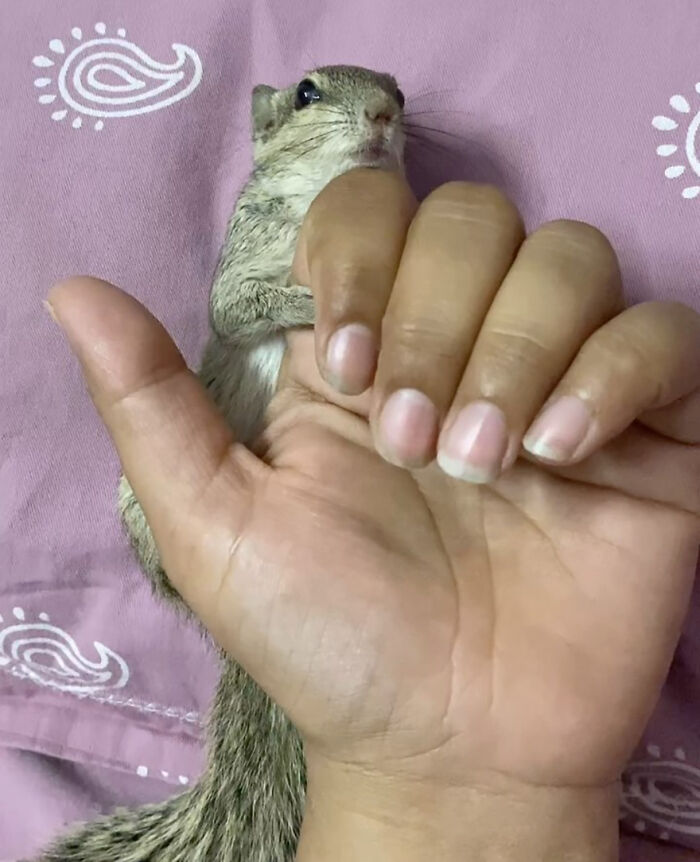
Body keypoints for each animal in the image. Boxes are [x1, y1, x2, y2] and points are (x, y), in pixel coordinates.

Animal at [37, 64, 410, 860]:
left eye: (397, 88)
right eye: (307, 93)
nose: (383, 111)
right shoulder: (240, 261)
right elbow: (238, 308)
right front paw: (307, 301)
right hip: (143, 512)